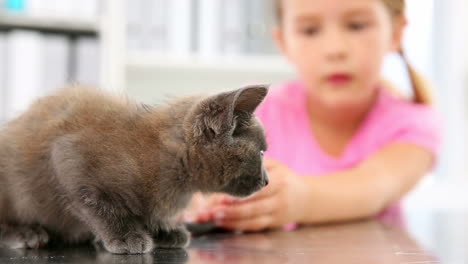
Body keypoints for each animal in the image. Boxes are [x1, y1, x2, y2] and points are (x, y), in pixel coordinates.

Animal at [0, 85, 268, 254]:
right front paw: (125, 236)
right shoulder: (68, 159)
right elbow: (101, 207)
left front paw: (164, 230)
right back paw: (26, 233)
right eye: (262, 153)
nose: (266, 181)